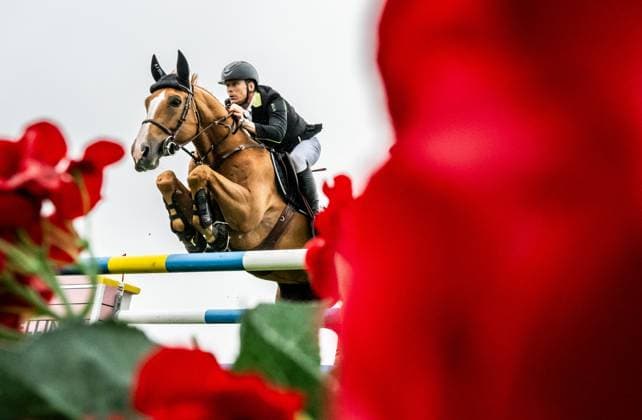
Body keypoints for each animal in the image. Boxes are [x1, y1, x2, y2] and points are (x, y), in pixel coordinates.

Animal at [131, 51, 317, 301]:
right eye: (147, 102)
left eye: (175, 101)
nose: (140, 153)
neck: (222, 152)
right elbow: (166, 178)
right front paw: (190, 232)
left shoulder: (249, 213)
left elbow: (199, 174)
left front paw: (209, 228)